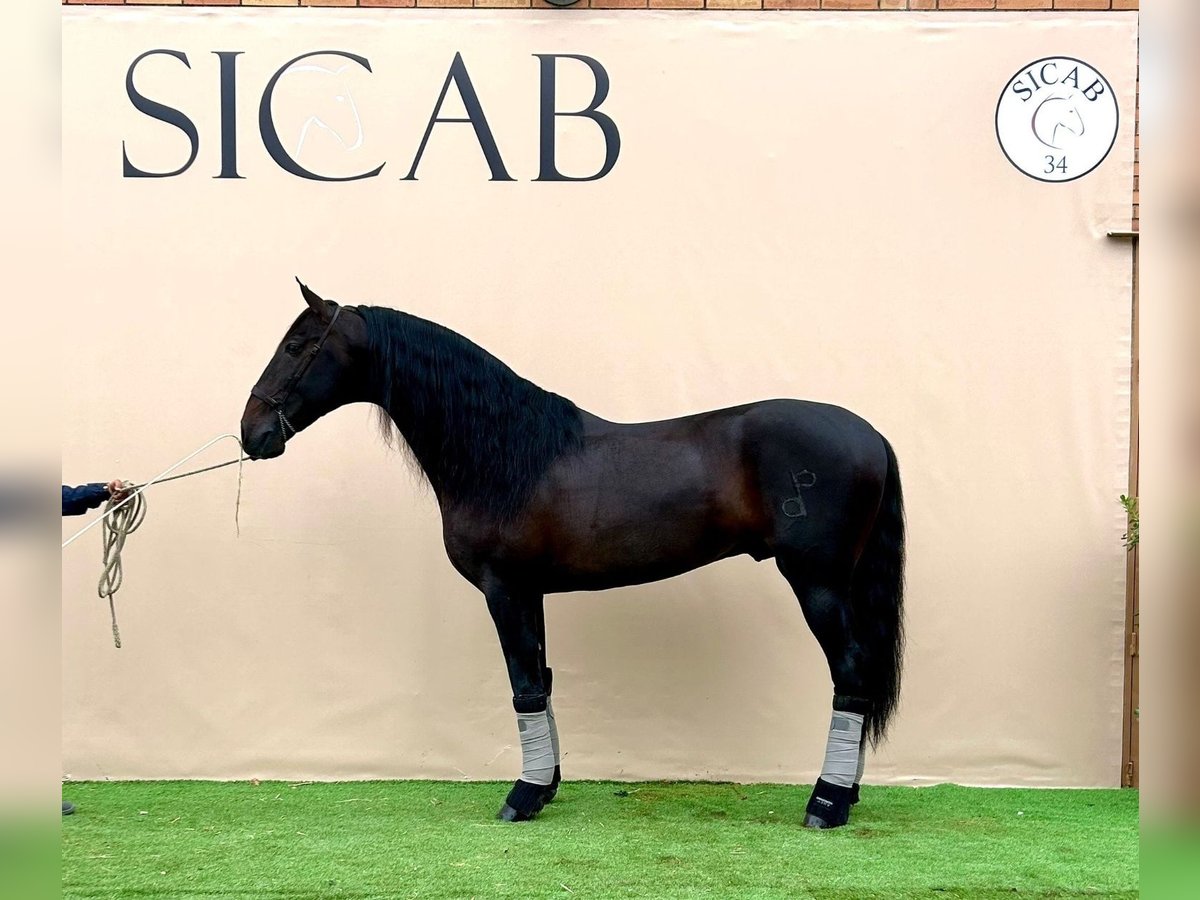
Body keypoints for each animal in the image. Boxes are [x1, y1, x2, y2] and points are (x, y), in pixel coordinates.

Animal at [238, 282, 902, 830]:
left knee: (851, 672)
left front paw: (521, 796)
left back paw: (826, 803)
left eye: (297, 345)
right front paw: (546, 787)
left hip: (816, 582)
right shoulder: (530, 592)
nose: (251, 432)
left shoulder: (504, 589)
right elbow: (543, 680)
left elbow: (524, 686)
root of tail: (870, 434)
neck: (505, 454)